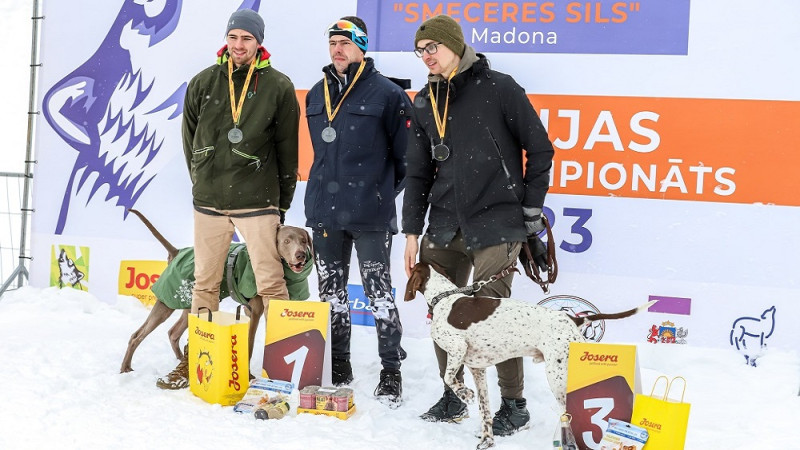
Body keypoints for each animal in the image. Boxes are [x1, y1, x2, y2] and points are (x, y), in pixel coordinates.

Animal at [119, 209, 312, 374]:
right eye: (286, 241)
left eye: (303, 240)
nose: (300, 255)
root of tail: (177, 252)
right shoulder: (254, 310)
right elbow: (249, 342)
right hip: (167, 302)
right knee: (137, 335)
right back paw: (125, 368)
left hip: (190, 304)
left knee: (173, 333)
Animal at [404, 260, 652, 450]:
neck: (444, 298)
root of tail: (573, 319)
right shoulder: (478, 369)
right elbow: (485, 411)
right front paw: (487, 441)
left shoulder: (457, 348)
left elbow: (449, 378)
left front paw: (465, 394)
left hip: (557, 377)